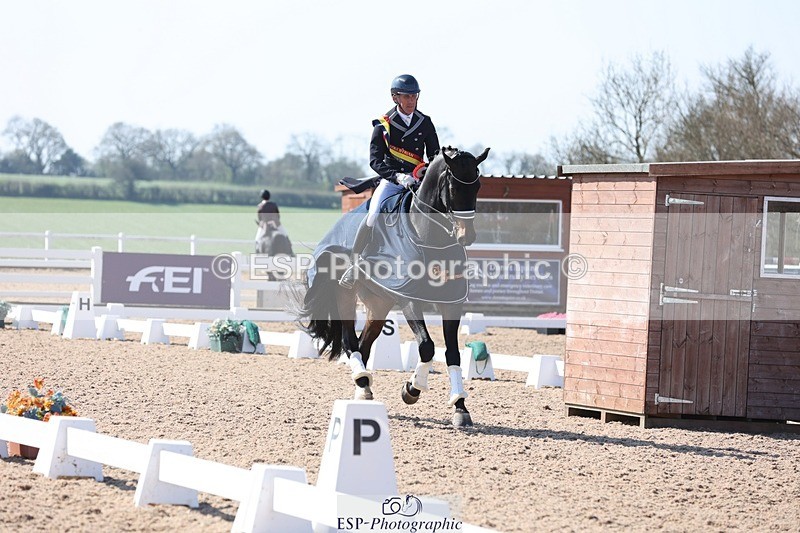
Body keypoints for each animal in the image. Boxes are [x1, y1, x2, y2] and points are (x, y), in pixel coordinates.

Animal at [295, 146, 490, 427]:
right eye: (453, 187)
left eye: (477, 185)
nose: (467, 236)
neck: (429, 237)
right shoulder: (409, 300)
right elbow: (427, 346)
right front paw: (412, 389)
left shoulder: (452, 303)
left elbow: (453, 353)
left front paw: (460, 407)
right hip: (345, 295)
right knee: (350, 342)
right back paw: (362, 383)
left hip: (379, 303)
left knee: (364, 345)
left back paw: (363, 389)